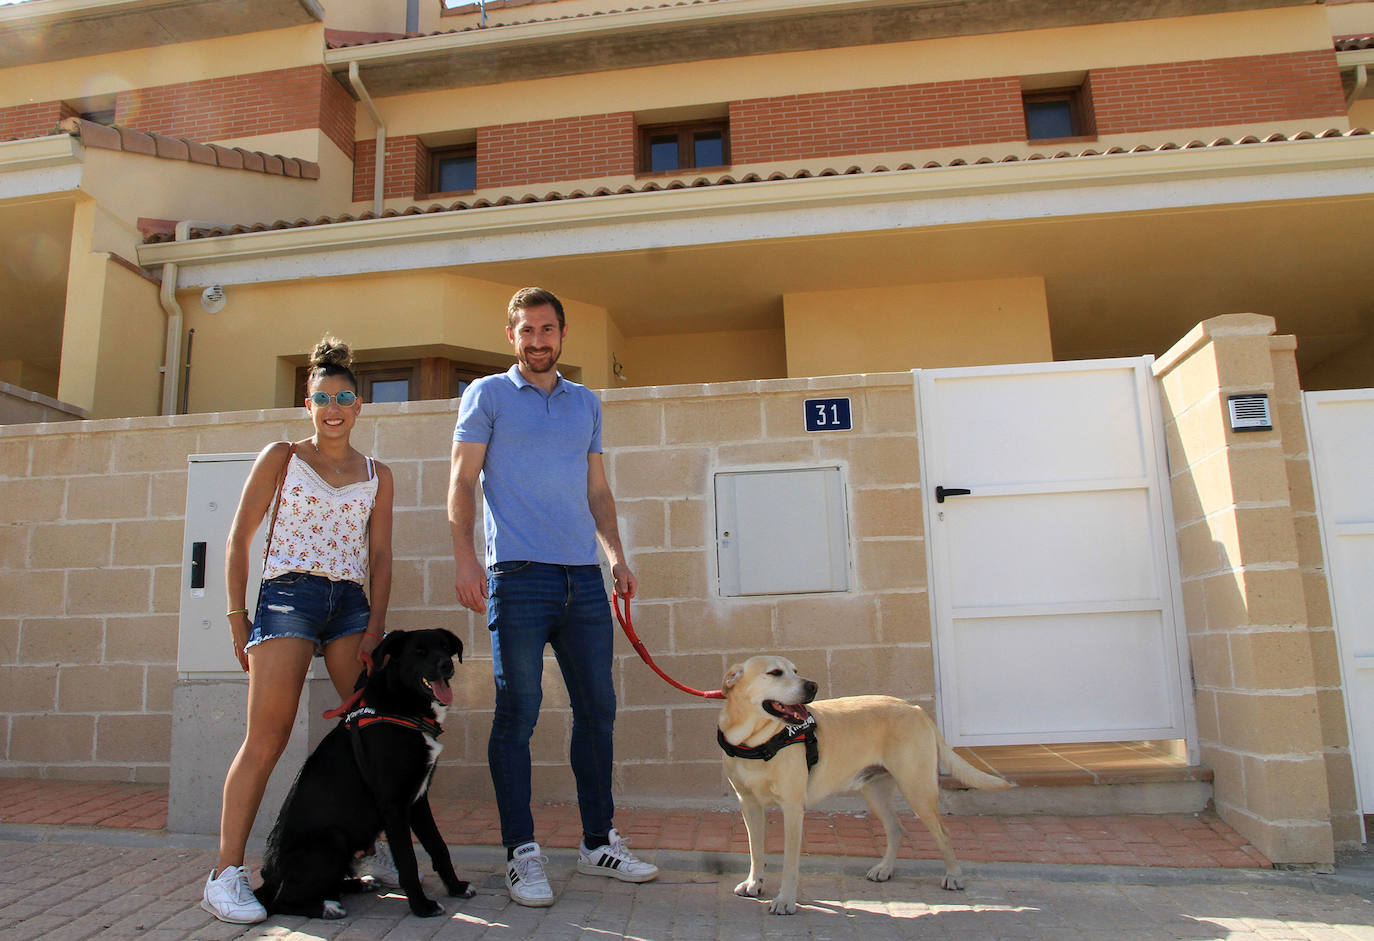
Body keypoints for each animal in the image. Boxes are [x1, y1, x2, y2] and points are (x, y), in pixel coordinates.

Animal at [255, 626, 475, 912]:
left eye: (445, 647)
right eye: (420, 651)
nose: (447, 665)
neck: (401, 706)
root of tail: (268, 880)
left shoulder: (417, 799)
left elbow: (439, 846)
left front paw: (456, 887)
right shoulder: (394, 805)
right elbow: (407, 860)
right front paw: (421, 907)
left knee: (329, 884)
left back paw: (359, 884)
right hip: (333, 839)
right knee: (283, 901)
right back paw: (327, 908)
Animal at [719, 653, 1011, 912]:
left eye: (795, 670)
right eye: (775, 673)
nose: (813, 686)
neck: (755, 742)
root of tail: (915, 708)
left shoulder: (792, 808)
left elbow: (790, 863)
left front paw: (785, 900)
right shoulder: (749, 805)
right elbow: (756, 850)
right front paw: (754, 883)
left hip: (917, 789)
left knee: (944, 832)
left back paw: (953, 875)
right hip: (875, 792)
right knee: (896, 829)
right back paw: (885, 870)